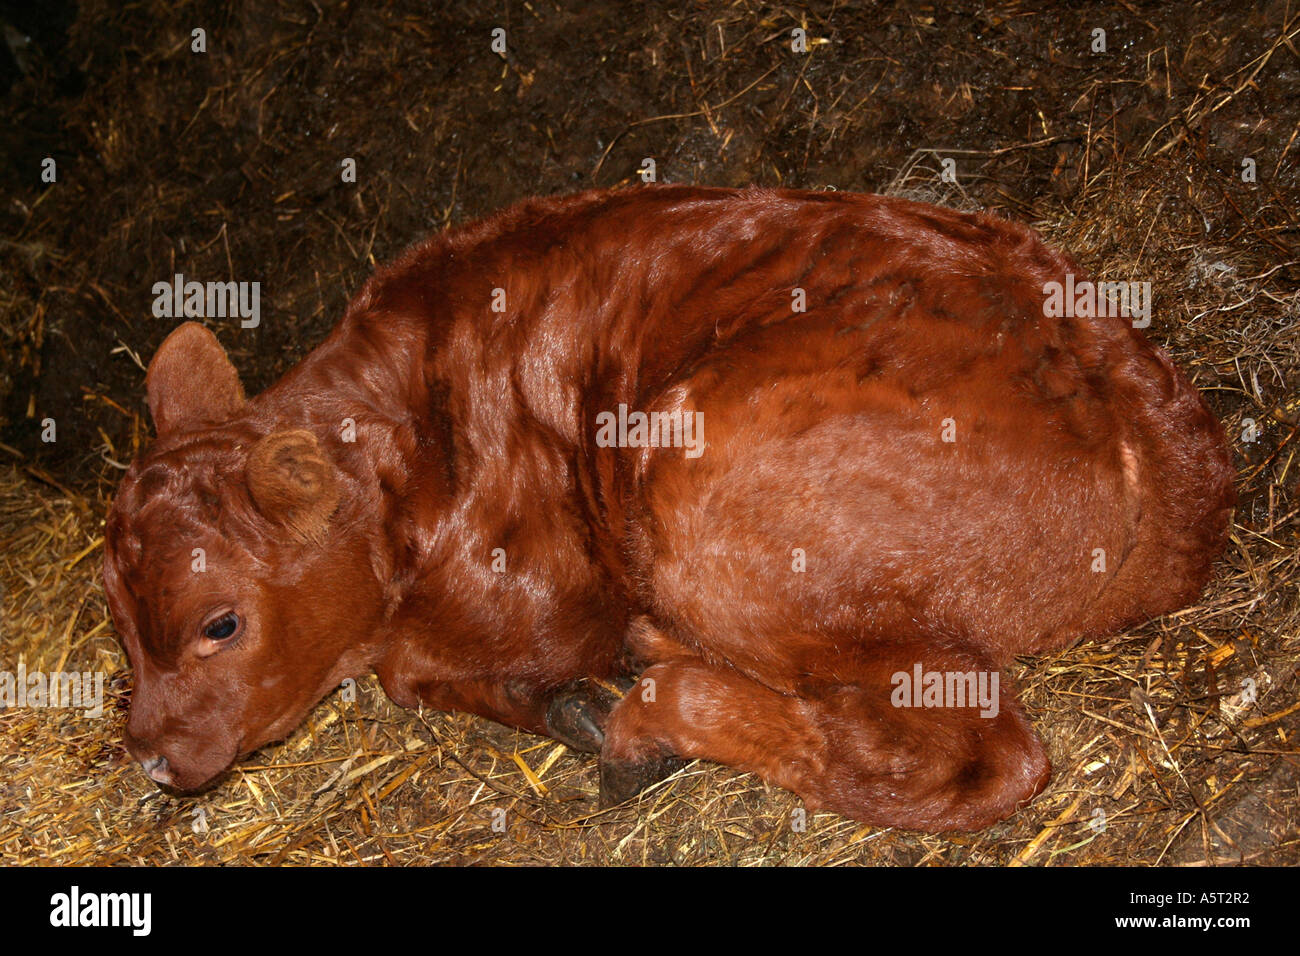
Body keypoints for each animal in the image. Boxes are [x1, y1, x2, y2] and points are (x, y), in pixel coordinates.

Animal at [98, 184, 1227, 832]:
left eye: (221, 622)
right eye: (117, 621)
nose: (150, 757)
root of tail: (1174, 467)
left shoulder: (542, 598)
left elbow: (418, 673)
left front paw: (584, 703)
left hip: (699, 491)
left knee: (980, 756)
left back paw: (654, 709)